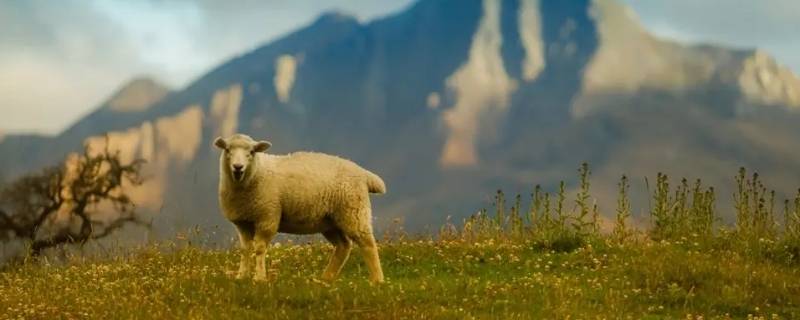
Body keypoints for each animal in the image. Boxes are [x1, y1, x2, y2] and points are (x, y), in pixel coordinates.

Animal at [212, 134, 388, 284]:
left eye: (251, 152)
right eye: (227, 150)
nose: (238, 167)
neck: (256, 173)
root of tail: (364, 173)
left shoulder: (267, 218)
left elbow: (260, 249)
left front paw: (259, 278)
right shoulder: (243, 222)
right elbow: (245, 249)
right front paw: (241, 276)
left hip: (353, 211)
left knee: (368, 244)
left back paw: (377, 280)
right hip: (330, 221)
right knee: (343, 246)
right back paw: (326, 278)